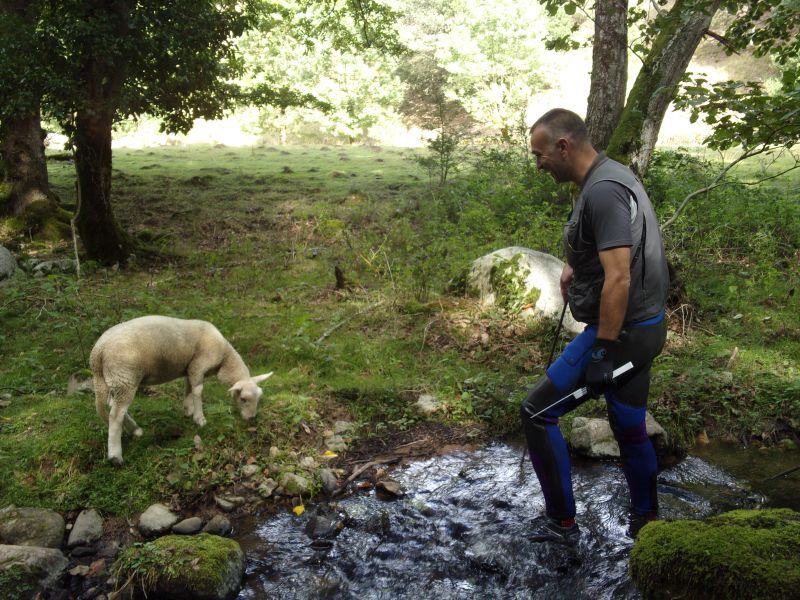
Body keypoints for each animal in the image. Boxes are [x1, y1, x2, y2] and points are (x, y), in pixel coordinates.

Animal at [90, 316, 272, 466]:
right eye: (243, 399)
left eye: (259, 398)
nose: (251, 419)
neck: (224, 359)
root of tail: (98, 352)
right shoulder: (199, 366)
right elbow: (198, 391)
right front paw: (200, 419)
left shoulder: (190, 368)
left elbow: (188, 389)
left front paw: (188, 410)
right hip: (125, 376)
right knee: (115, 415)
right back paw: (115, 456)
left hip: (116, 380)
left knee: (114, 407)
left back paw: (135, 430)